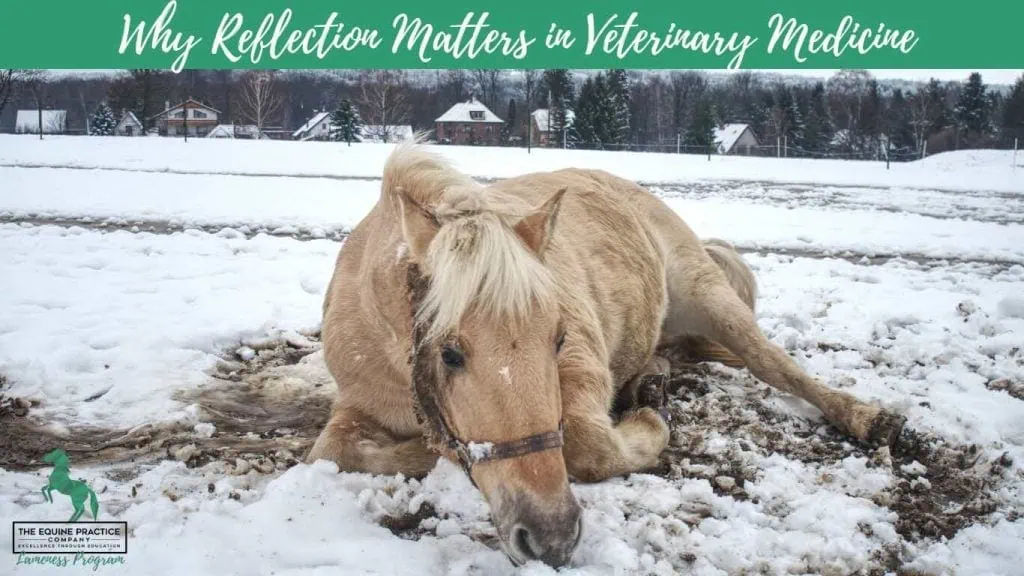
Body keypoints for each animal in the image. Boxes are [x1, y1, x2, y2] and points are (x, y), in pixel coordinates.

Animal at [308, 143, 905, 567]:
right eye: (450, 354)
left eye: (558, 338)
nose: (551, 537)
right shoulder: (355, 407)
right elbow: (333, 450)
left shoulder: (581, 369)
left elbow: (587, 443)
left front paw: (649, 424)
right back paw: (652, 378)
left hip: (708, 295)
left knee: (777, 366)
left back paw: (868, 418)